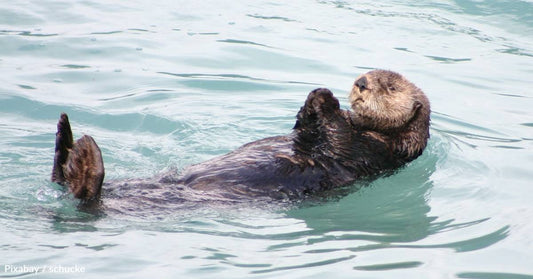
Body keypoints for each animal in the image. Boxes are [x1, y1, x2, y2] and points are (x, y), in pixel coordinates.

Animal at [51, 70, 428, 206]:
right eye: (365, 73)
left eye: (390, 87)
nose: (360, 83)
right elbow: (305, 131)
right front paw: (313, 101)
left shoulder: (376, 151)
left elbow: (338, 138)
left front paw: (325, 99)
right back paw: (66, 142)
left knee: (88, 197)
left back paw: (82, 160)